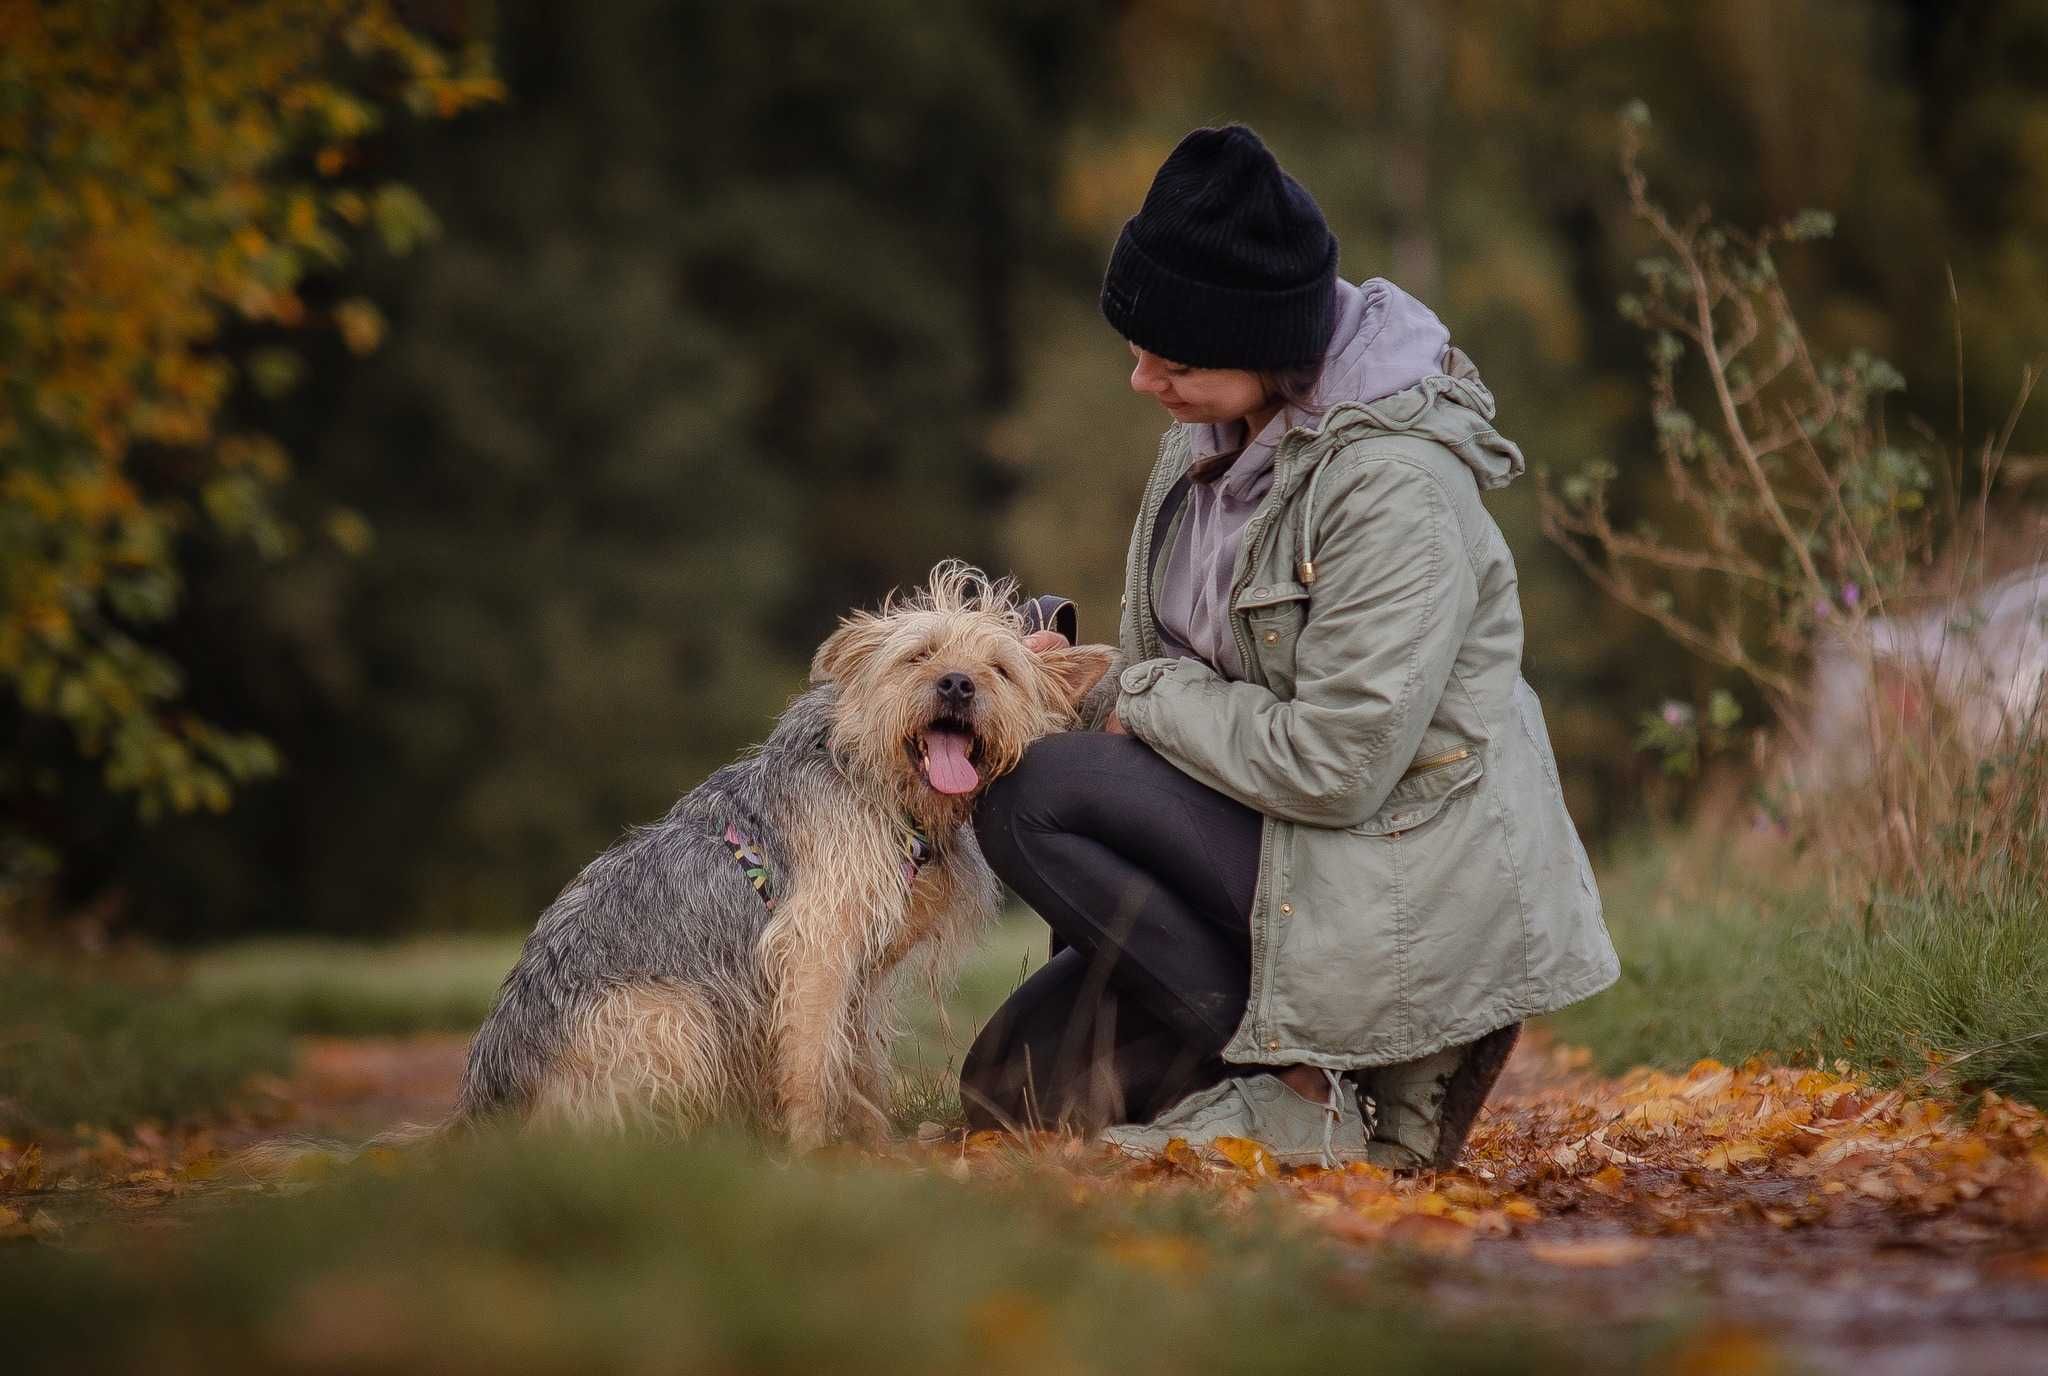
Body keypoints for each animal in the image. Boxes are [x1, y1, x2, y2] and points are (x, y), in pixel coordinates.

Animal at [456, 561, 1114, 1146]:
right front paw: (809, 1152)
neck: (875, 784)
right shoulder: (814, 948)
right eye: (919, 655)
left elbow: (860, 1062)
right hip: (674, 1013)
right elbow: (812, 1061)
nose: (957, 682)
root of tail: (483, 1110)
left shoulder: (860, 969)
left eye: (1000, 669)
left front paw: (875, 1143)